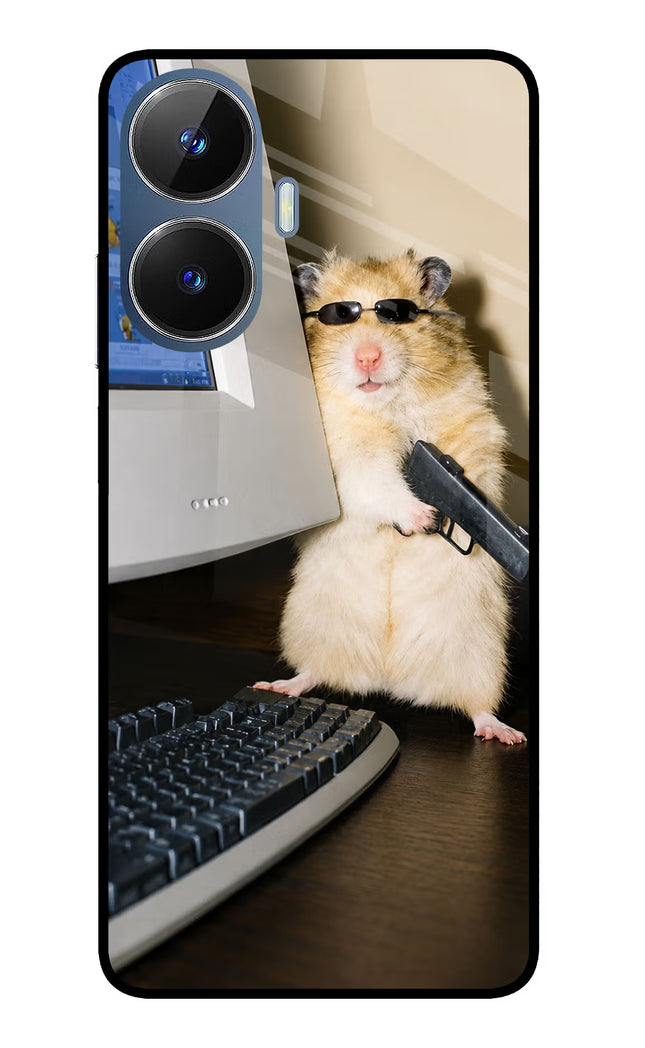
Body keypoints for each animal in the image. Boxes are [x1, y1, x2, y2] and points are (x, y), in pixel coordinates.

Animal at [255, 249, 526, 744]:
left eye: (396, 314)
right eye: (339, 316)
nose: (367, 357)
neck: (386, 404)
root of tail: (388, 678)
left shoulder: (471, 428)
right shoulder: (348, 459)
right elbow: (378, 483)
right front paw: (423, 518)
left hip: (480, 654)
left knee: (477, 706)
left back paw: (504, 733)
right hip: (311, 626)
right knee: (314, 672)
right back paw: (279, 685)